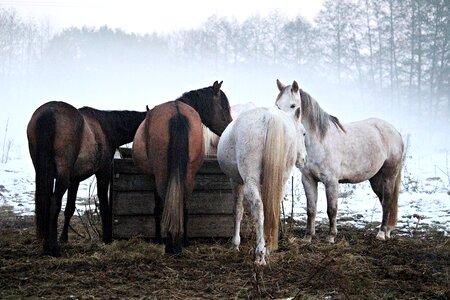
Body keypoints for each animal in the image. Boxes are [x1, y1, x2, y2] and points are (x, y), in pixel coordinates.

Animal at [27, 102, 146, 256]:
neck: (107, 127)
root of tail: (49, 112)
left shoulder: (74, 180)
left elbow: (69, 208)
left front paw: (64, 238)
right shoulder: (103, 171)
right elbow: (104, 203)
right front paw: (107, 238)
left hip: (44, 173)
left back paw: (47, 244)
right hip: (62, 178)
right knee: (54, 202)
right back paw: (53, 247)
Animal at [131, 80, 232, 253]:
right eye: (224, 107)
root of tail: (177, 114)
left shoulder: (153, 177)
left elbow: (157, 209)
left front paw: (158, 239)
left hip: (162, 175)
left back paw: (170, 244)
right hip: (189, 175)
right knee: (183, 204)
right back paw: (181, 242)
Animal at [217, 106, 306, 264]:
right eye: (303, 133)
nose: (303, 159)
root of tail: (270, 116)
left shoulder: (237, 181)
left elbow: (238, 211)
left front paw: (235, 245)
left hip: (250, 179)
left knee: (258, 207)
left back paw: (260, 254)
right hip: (281, 180)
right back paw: (266, 247)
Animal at [274, 80, 404, 244]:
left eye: (293, 105)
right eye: (277, 105)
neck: (319, 141)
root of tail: (394, 131)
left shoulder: (331, 181)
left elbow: (332, 209)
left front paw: (331, 236)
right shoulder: (308, 180)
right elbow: (311, 209)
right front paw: (308, 237)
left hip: (389, 175)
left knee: (387, 201)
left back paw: (381, 234)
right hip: (375, 178)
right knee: (384, 201)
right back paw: (387, 232)